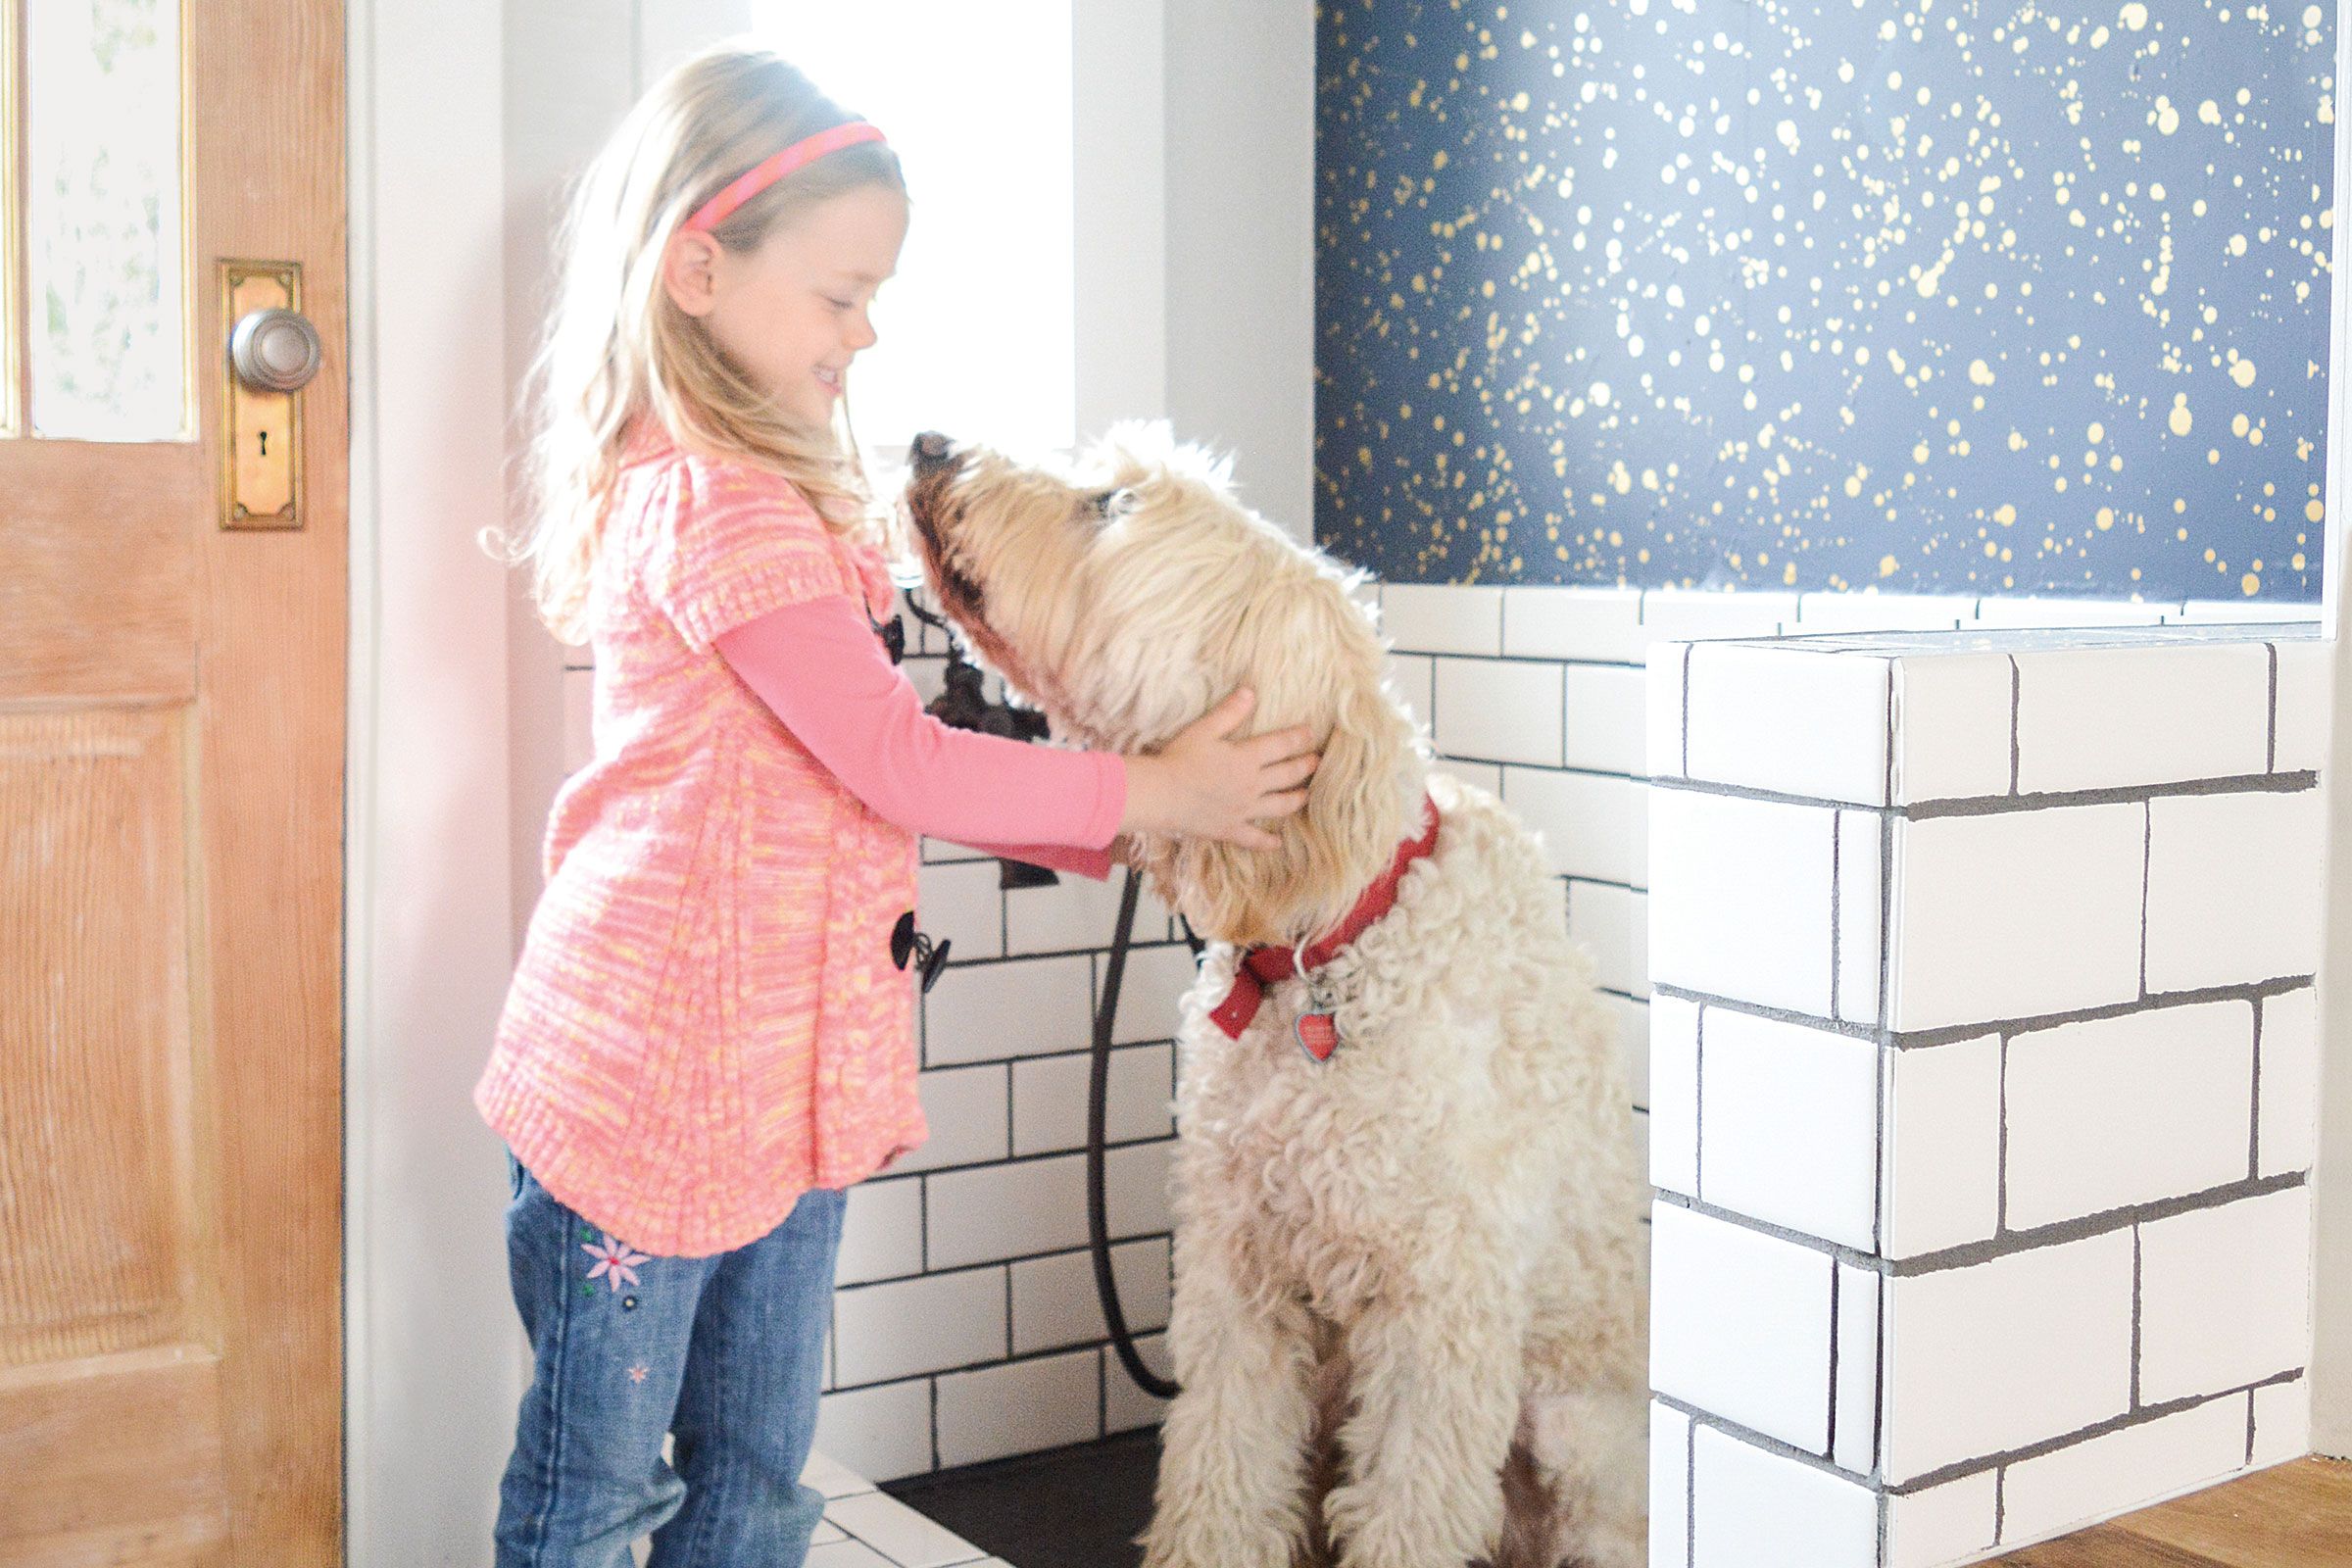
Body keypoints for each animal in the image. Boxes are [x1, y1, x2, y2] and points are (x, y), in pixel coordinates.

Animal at [898, 422, 1655, 1560]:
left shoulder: (1440, 1321)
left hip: (1577, 1433)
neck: (1323, 953)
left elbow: (1410, 1512)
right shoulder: (1237, 1274)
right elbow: (1221, 1469)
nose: (928, 441)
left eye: (1112, 506)